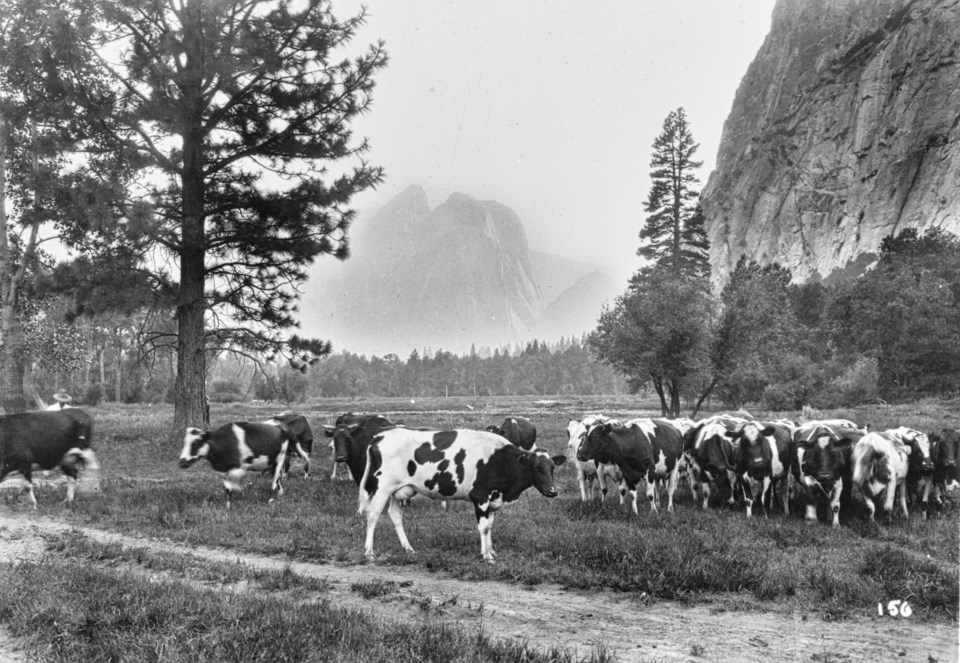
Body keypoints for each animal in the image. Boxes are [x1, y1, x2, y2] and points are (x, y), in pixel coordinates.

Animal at [354, 428, 564, 564]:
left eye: (552, 467)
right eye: (535, 467)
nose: (553, 491)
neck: (500, 459)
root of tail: (380, 436)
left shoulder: (493, 499)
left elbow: (490, 525)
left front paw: (491, 551)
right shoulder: (480, 496)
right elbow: (484, 527)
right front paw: (486, 556)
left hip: (401, 490)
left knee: (395, 515)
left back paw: (409, 549)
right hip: (383, 487)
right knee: (373, 514)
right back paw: (369, 553)